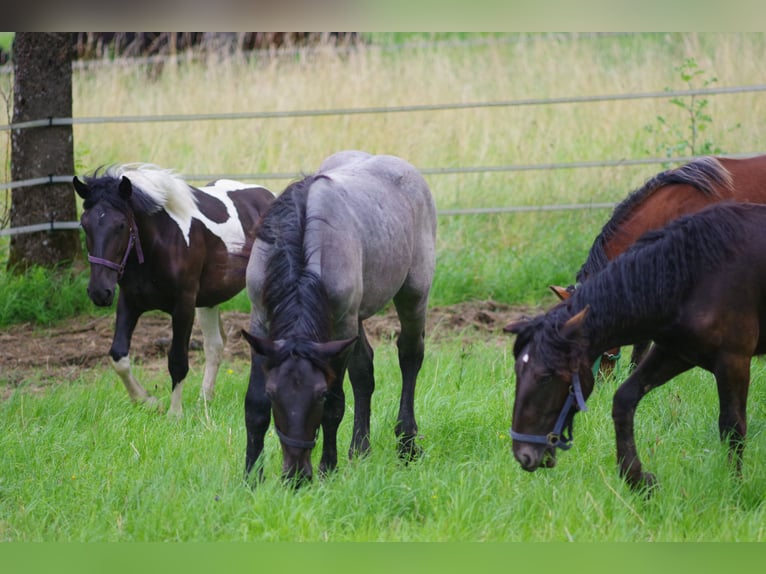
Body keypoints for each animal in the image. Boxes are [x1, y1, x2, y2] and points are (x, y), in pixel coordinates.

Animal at [73, 164, 276, 416]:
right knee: (215, 346)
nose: (99, 292)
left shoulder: (183, 306)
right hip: (209, 301)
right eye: (84, 224)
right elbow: (118, 356)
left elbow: (177, 360)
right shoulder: (129, 302)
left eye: (120, 225)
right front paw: (148, 401)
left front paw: (175, 413)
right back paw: (204, 400)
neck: (162, 243)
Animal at [243, 151, 440, 484]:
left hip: (413, 295)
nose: (296, 476)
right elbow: (254, 406)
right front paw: (250, 477)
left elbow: (336, 406)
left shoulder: (341, 327)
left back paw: (407, 444)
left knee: (410, 356)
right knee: (364, 372)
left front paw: (327, 468)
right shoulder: (261, 322)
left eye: (319, 394)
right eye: (273, 393)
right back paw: (360, 450)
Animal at [508, 201, 766, 490]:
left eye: (545, 377)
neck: (694, 275)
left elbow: (732, 426)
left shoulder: (733, 360)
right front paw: (638, 478)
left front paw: (734, 486)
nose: (523, 455)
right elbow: (624, 399)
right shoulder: (675, 352)